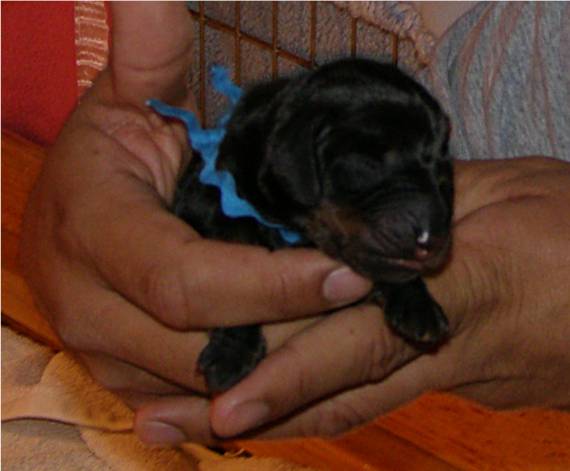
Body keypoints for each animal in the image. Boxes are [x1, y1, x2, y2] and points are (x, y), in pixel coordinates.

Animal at [174, 57, 452, 392]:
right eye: (368, 164)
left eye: (443, 174)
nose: (431, 239)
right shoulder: (214, 200)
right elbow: (232, 269)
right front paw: (232, 352)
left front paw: (418, 305)